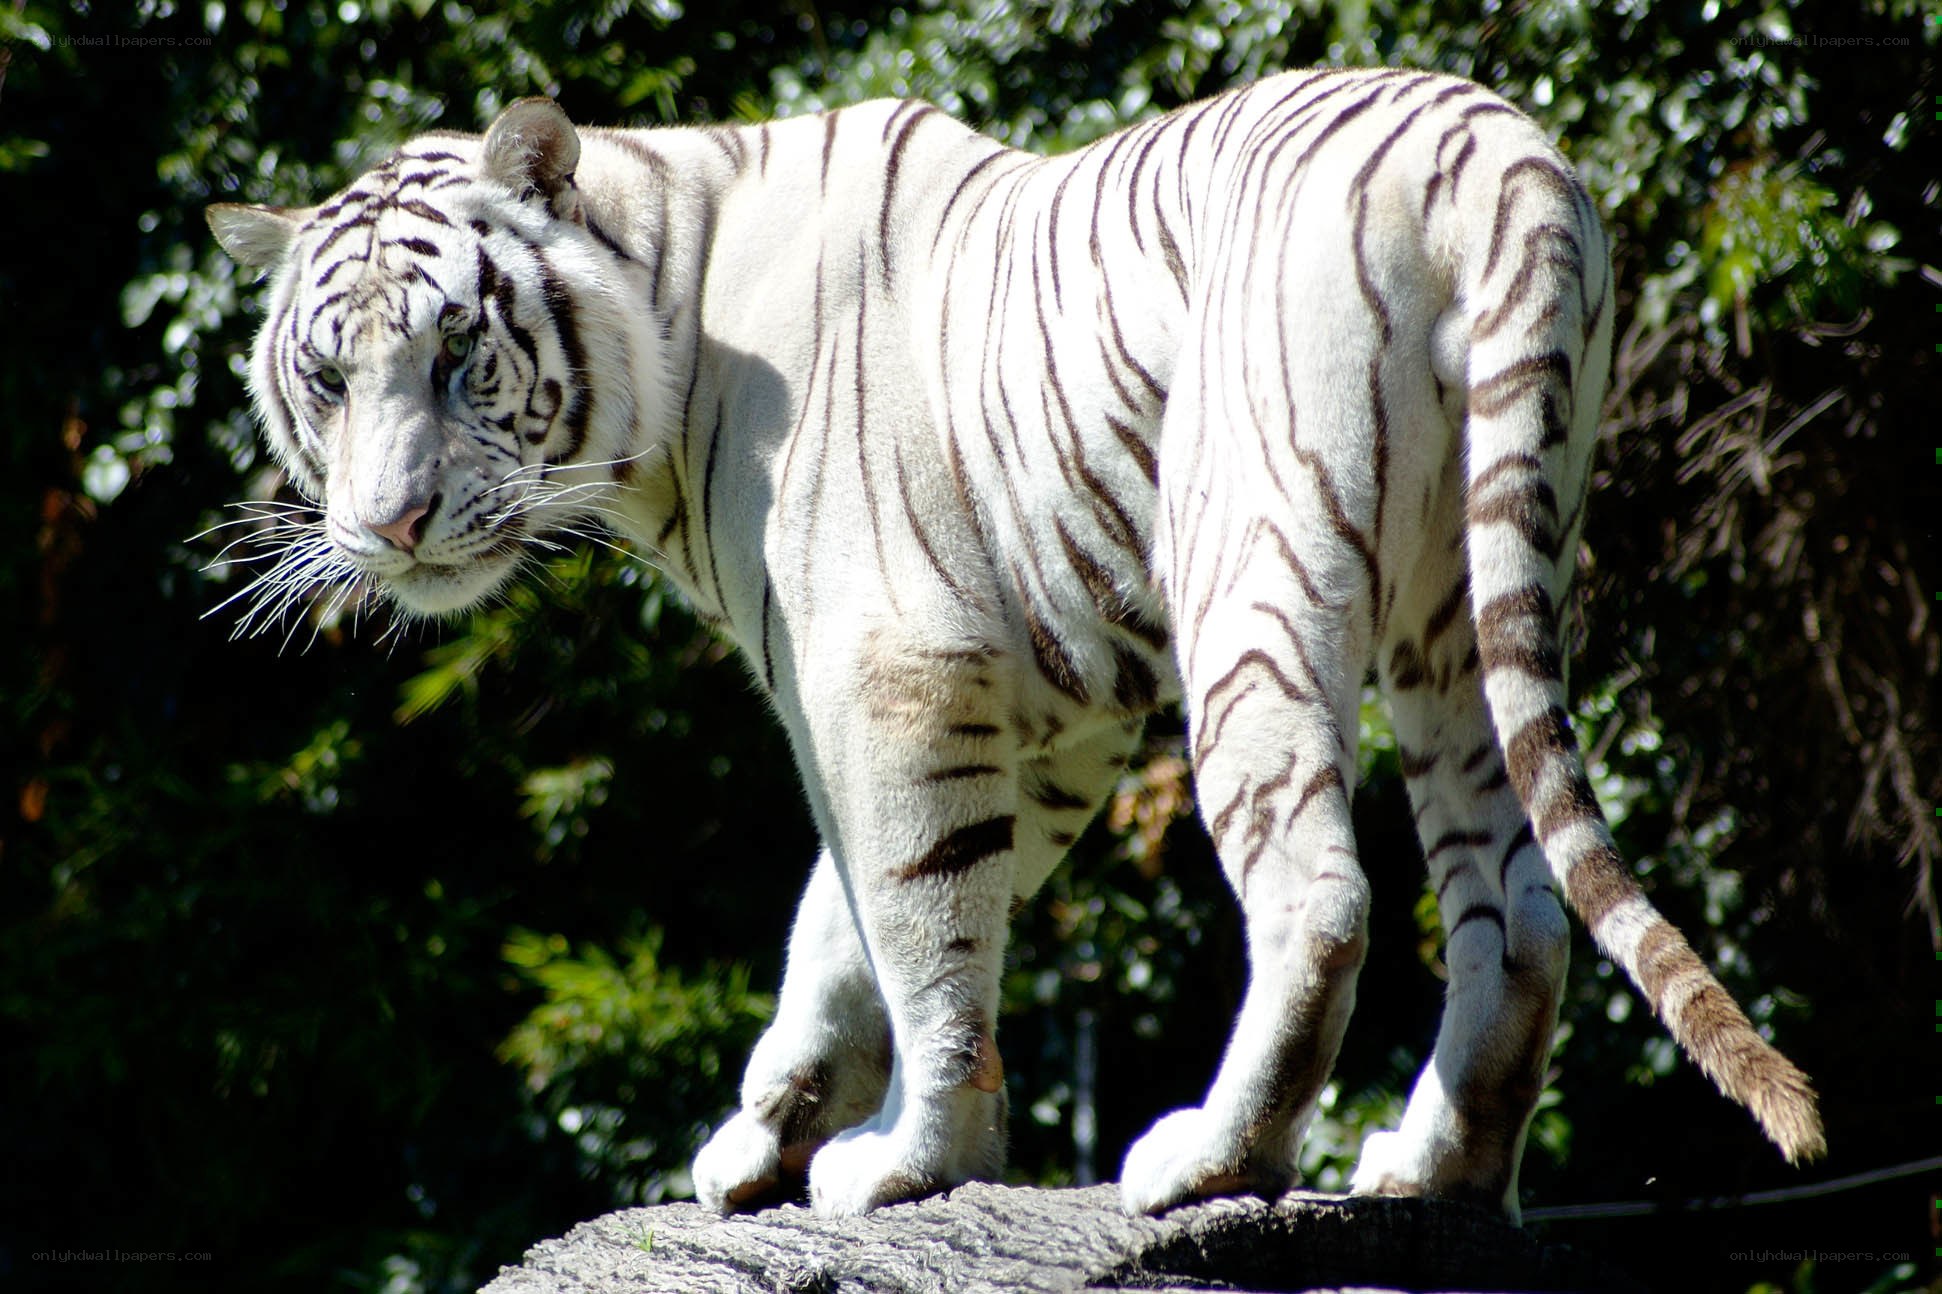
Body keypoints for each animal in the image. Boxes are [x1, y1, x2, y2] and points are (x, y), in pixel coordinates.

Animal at [208, 65, 1823, 1220]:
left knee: (1320, 892)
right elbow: (838, 920)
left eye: (456, 354)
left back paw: (1209, 1160)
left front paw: (910, 1159)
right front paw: (764, 1130)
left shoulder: (893, 673)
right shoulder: (1051, 713)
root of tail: (1498, 156)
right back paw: (1433, 1169)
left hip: (1253, 557)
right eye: (329, 378)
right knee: (1517, 900)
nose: (394, 522)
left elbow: (918, 921)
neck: (670, 321)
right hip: (1461, 595)